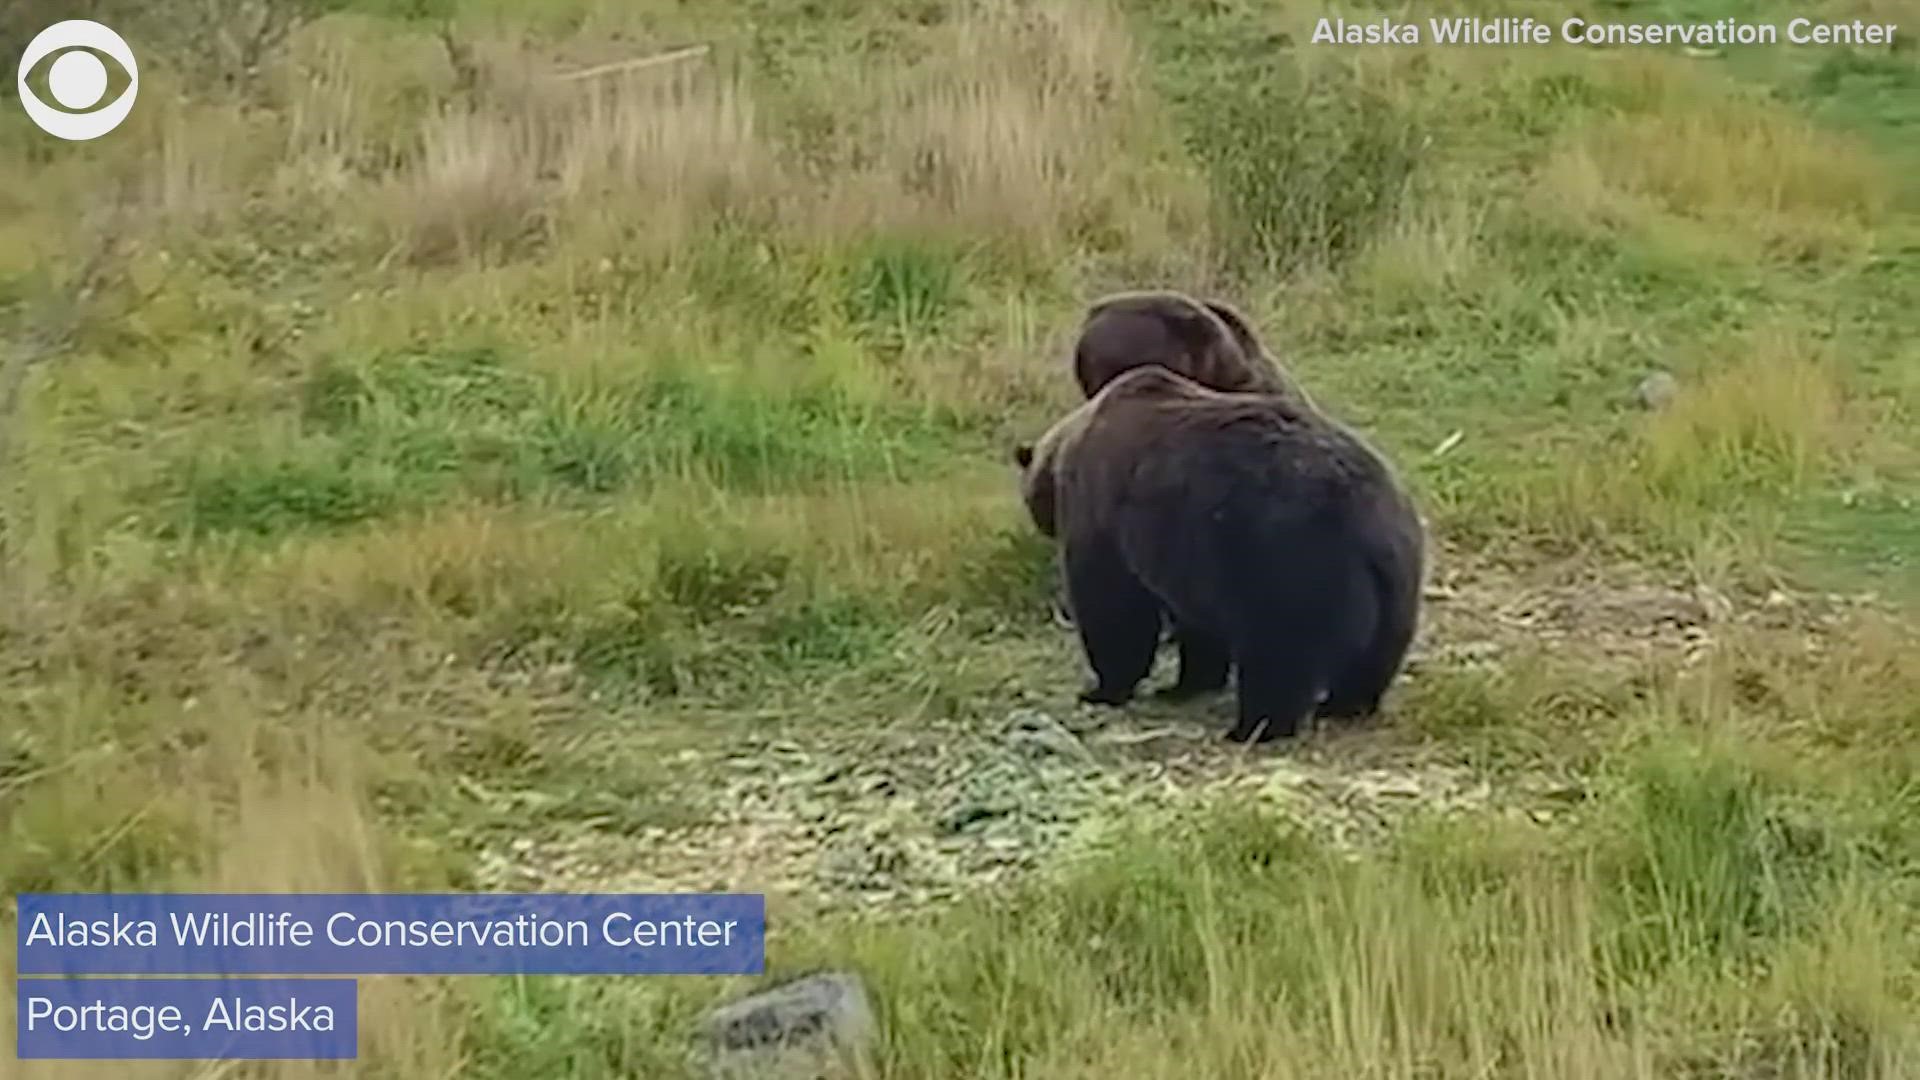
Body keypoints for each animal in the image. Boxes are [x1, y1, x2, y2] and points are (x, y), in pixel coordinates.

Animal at [1021, 363, 1428, 737]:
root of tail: (1369, 517)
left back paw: (1254, 726)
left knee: (1281, 652)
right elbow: (1197, 625)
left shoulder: (1102, 513)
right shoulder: (1187, 552)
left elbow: (1113, 606)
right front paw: (1184, 684)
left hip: (1289, 559)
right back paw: (1345, 705)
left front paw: (1103, 688)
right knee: (1376, 656)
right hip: (1396, 580)